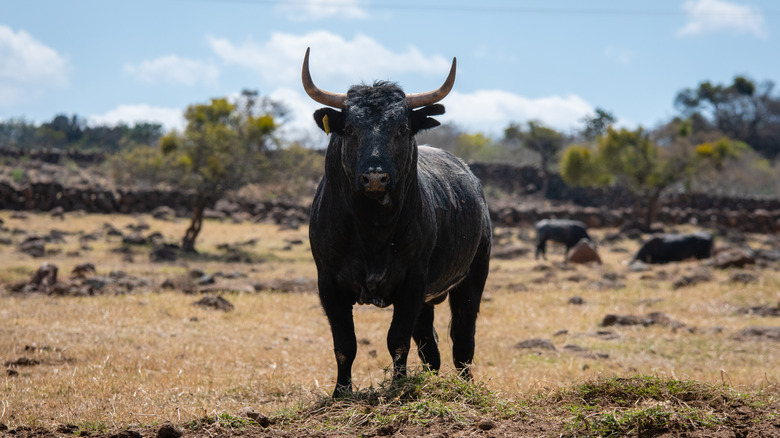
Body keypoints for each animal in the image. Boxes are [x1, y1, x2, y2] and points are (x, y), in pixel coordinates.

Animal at [302, 48, 490, 396]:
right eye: (350, 128)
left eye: (401, 128)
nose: (375, 176)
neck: (372, 230)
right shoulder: (328, 282)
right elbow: (345, 344)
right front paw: (341, 392)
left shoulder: (413, 281)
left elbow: (397, 340)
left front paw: (397, 387)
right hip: (429, 300)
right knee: (430, 346)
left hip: (472, 279)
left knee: (462, 339)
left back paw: (465, 385)